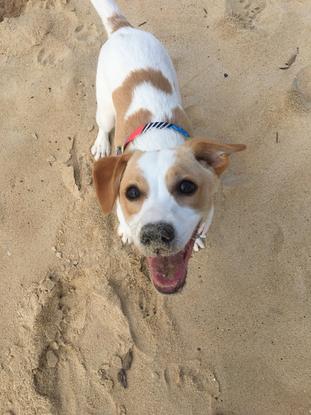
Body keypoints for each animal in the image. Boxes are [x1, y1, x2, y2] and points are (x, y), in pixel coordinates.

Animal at [89, 0, 246, 294]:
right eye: (131, 193)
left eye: (187, 187)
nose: (154, 235)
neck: (158, 138)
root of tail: (123, 28)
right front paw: (126, 230)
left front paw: (198, 238)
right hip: (105, 107)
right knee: (103, 125)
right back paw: (102, 144)